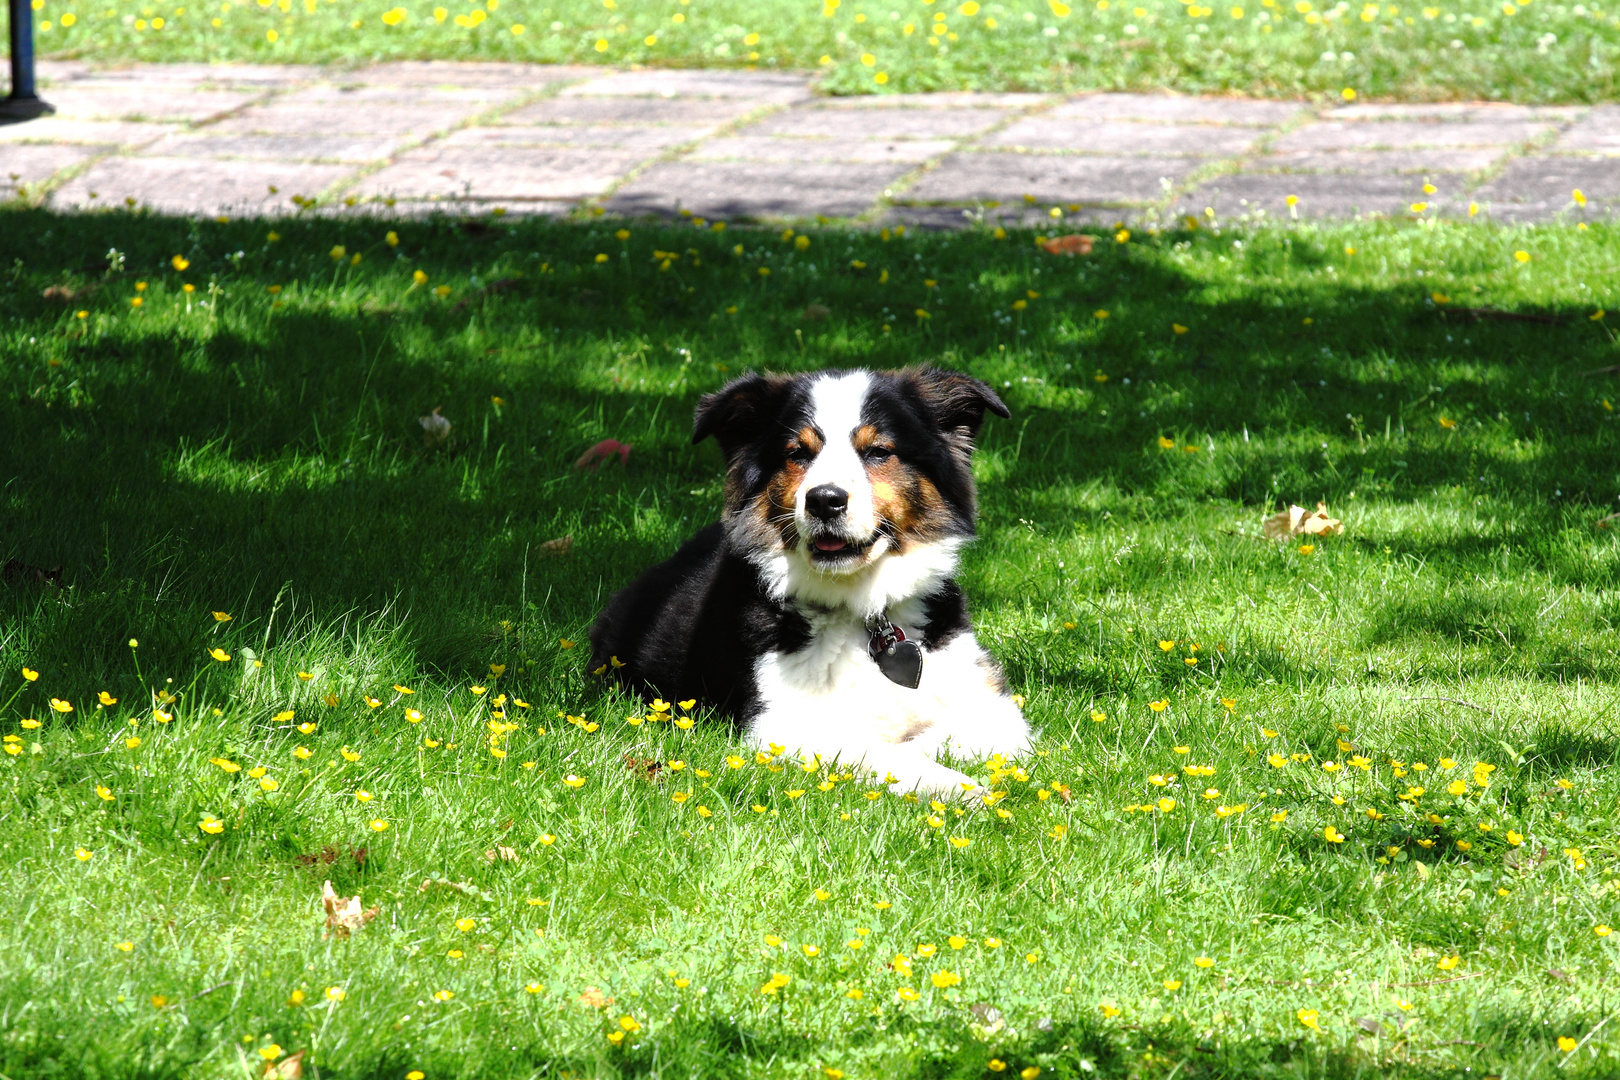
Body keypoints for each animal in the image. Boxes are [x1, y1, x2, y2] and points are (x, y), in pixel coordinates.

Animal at [589, 367, 1030, 799]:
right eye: (797, 453)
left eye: (878, 451)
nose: (824, 500)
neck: (864, 615)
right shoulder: (778, 725)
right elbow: (877, 747)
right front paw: (954, 784)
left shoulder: (993, 704)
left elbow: (949, 733)